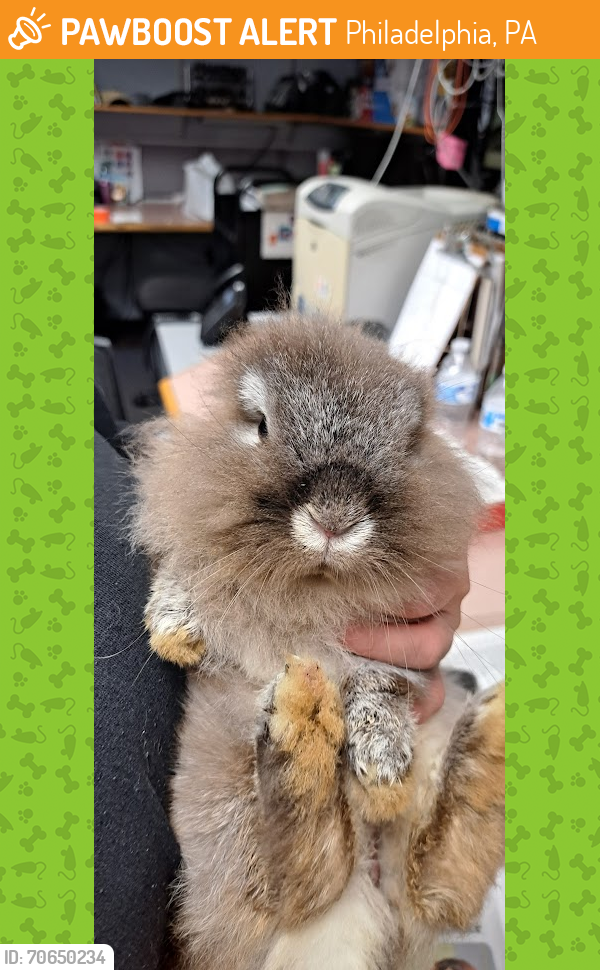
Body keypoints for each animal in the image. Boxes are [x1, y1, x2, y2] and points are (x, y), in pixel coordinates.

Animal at [129, 314, 505, 970]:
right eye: (259, 425)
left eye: (408, 445)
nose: (335, 518)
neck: (312, 588)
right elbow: (190, 569)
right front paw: (174, 631)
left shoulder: (382, 650)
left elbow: (380, 689)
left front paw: (381, 767)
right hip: (220, 795)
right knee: (295, 885)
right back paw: (302, 721)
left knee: (434, 888)